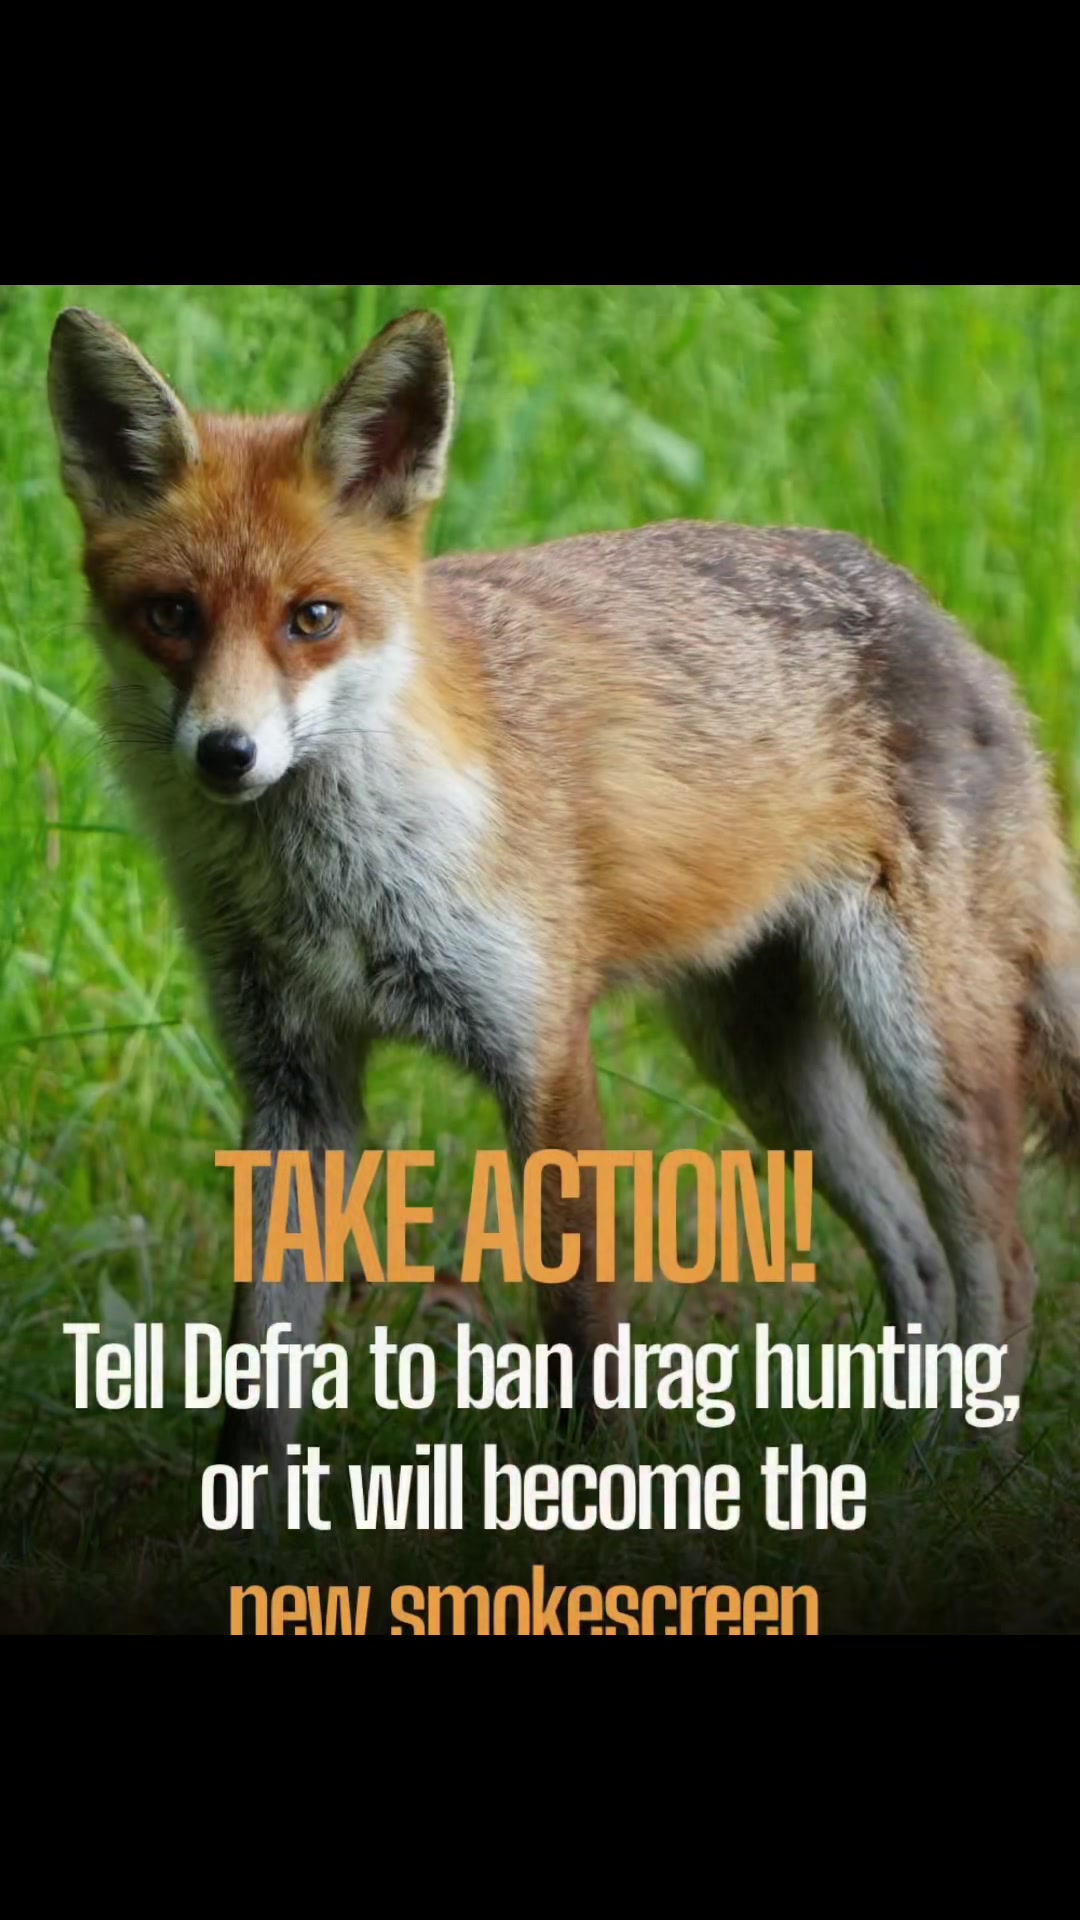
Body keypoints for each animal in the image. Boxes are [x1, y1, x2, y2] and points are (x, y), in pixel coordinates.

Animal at [47, 302, 1080, 1486]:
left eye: (313, 618)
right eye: (172, 614)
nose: (228, 753)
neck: (332, 891)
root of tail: (941, 619)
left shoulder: (540, 1050)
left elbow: (580, 1320)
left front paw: (594, 1493)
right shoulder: (294, 1086)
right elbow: (257, 1368)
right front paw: (243, 1509)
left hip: (917, 1040)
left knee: (1000, 1260)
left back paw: (974, 1463)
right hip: (765, 1069)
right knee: (917, 1256)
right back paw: (901, 1459)